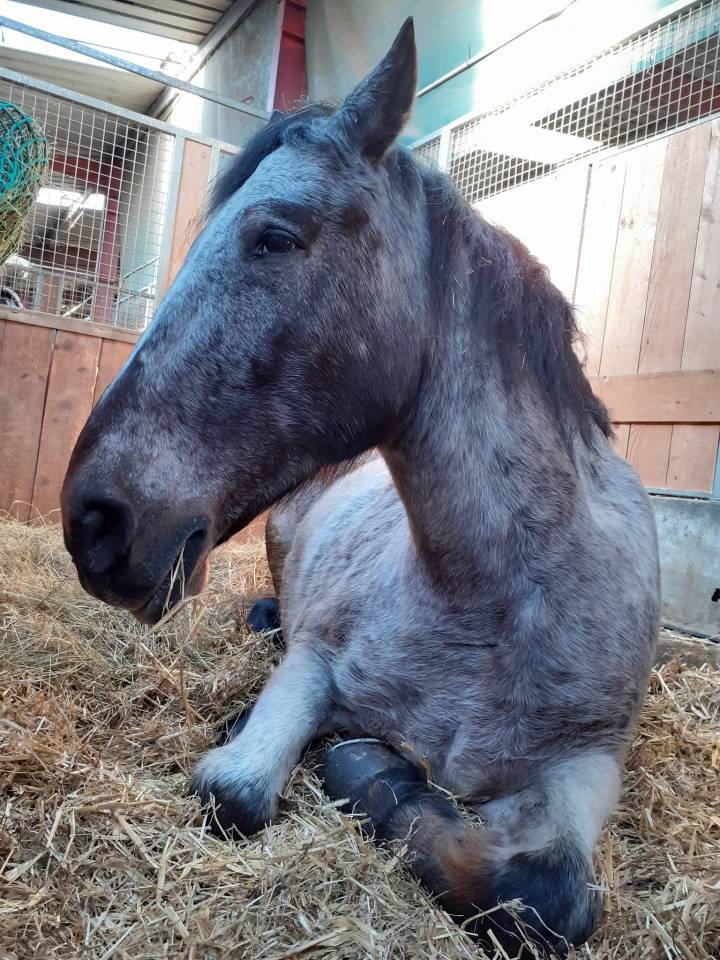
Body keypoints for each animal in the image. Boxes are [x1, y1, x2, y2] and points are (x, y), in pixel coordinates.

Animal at [61, 19, 660, 955]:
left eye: (275, 236)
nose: (92, 519)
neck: (492, 598)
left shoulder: (590, 758)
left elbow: (543, 892)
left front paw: (380, 774)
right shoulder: (313, 663)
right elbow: (234, 792)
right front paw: (362, 762)